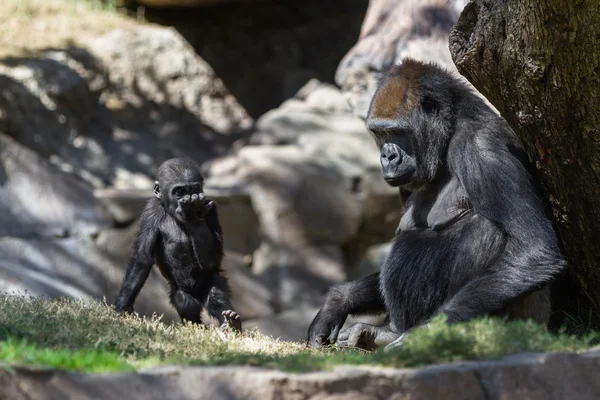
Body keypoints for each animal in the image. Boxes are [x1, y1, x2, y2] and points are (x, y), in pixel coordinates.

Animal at [115, 157, 241, 332]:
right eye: (179, 192)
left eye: (194, 189)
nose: (188, 200)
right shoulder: (150, 211)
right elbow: (142, 258)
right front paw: (123, 307)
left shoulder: (211, 208)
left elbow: (212, 259)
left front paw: (195, 217)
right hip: (180, 290)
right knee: (185, 302)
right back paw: (196, 326)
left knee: (216, 292)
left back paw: (231, 323)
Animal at [308, 58, 564, 350]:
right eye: (380, 133)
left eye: (397, 132)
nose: (387, 157)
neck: (449, 133)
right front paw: (338, 301)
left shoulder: (483, 147)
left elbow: (534, 250)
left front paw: (423, 335)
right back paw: (386, 332)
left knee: (489, 231)